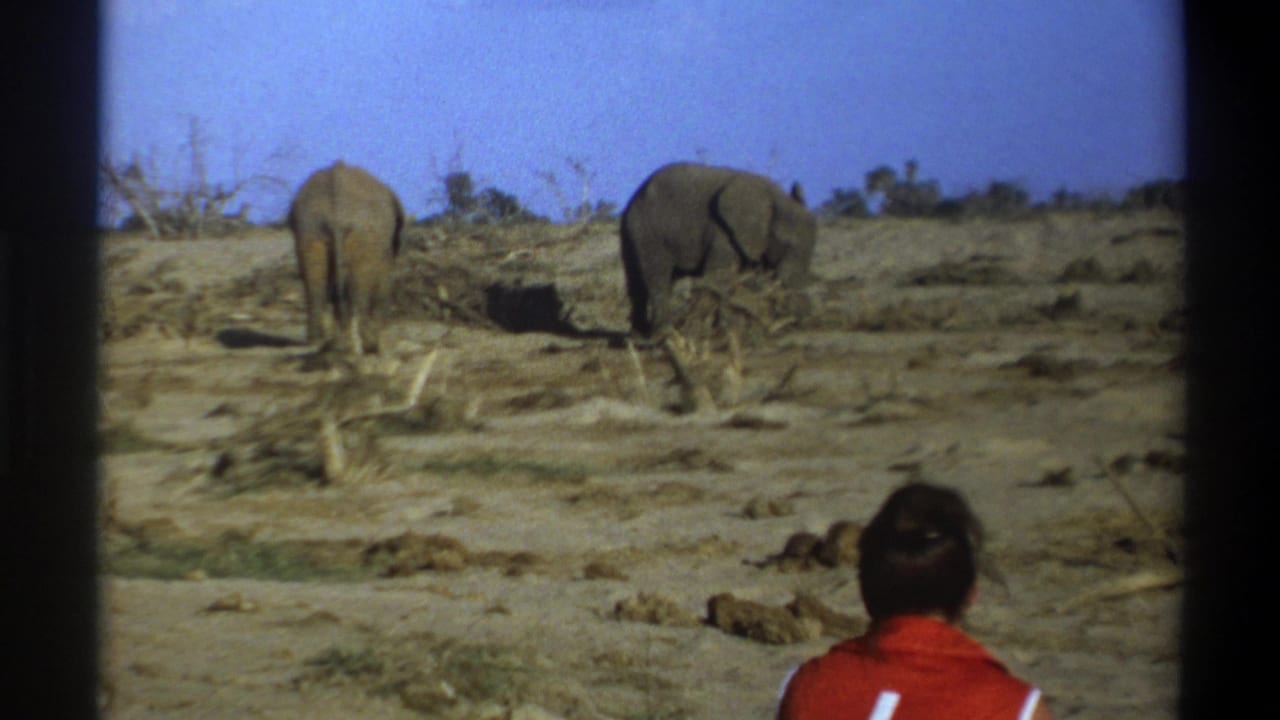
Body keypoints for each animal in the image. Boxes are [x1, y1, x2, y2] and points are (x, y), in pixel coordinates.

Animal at [288, 161, 404, 354]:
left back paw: (320, 342)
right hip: (364, 235)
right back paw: (361, 345)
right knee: (358, 286)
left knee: (315, 284)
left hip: (309, 230)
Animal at [619, 162, 817, 337]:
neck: (773, 194)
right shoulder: (722, 232)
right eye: (787, 244)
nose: (804, 322)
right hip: (646, 231)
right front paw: (729, 330)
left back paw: (639, 336)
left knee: (639, 285)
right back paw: (662, 333)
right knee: (657, 279)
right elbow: (720, 276)